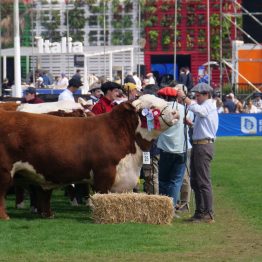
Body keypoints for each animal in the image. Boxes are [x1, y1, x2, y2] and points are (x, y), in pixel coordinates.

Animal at [0, 94, 178, 219]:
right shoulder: (104, 172)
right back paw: (6, 217)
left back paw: (48, 214)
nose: (176, 112)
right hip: (5, 172)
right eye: (152, 106)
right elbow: (101, 194)